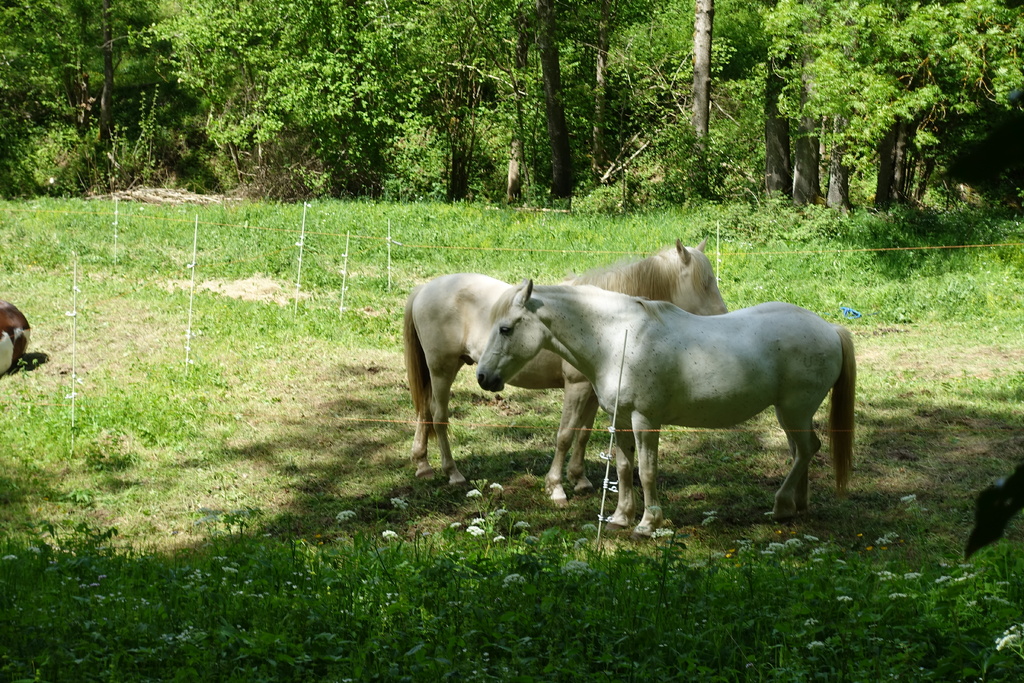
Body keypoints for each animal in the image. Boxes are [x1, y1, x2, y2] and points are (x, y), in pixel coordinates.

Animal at [403, 240, 727, 504]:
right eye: (706, 282)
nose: (725, 316)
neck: (598, 323)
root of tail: (424, 289)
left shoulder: (593, 391)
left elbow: (583, 434)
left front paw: (579, 479)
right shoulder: (576, 387)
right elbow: (565, 435)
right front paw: (556, 487)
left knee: (424, 411)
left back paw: (423, 466)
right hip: (443, 369)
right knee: (439, 416)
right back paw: (452, 473)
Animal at [476, 280, 855, 535]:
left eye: (505, 329)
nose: (483, 377)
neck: (618, 339)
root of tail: (830, 328)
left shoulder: (645, 420)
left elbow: (646, 471)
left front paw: (647, 523)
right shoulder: (621, 420)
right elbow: (624, 469)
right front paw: (620, 518)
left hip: (794, 410)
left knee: (807, 450)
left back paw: (780, 506)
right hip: (789, 414)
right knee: (799, 452)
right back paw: (795, 506)